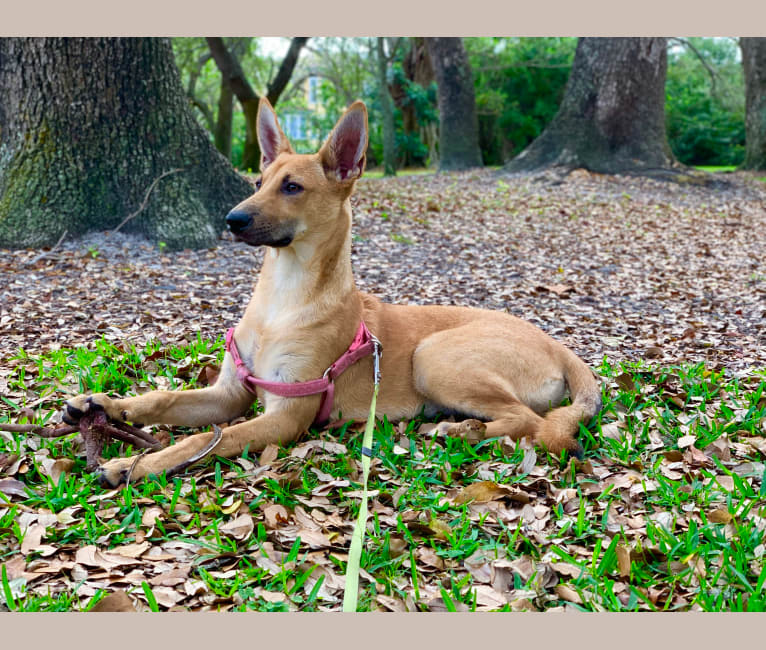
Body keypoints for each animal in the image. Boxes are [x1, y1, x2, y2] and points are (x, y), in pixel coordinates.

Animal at [64, 98, 608, 484]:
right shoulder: (228, 393)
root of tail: (558, 345)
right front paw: (106, 404)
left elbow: (205, 441)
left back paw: (458, 429)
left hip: (435, 355)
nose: (231, 220)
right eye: (259, 181)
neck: (284, 296)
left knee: (528, 421)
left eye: (292, 187)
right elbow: (164, 398)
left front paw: (135, 465)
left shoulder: (284, 416)